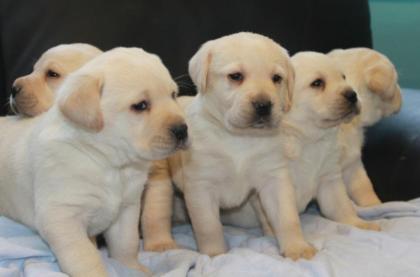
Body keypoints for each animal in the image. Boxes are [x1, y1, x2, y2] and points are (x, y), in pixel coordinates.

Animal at [0, 47, 187, 276]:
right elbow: (86, 257)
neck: (107, 162)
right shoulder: (61, 217)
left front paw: (133, 268)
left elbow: (127, 244)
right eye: (140, 106)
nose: (182, 130)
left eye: (173, 95)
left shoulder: (127, 209)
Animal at [143, 31, 304, 256]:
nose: (263, 105)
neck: (238, 138)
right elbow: (209, 228)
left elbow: (288, 217)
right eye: (236, 76)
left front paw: (298, 248)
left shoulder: (274, 178)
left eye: (276, 78)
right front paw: (215, 254)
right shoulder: (202, 187)